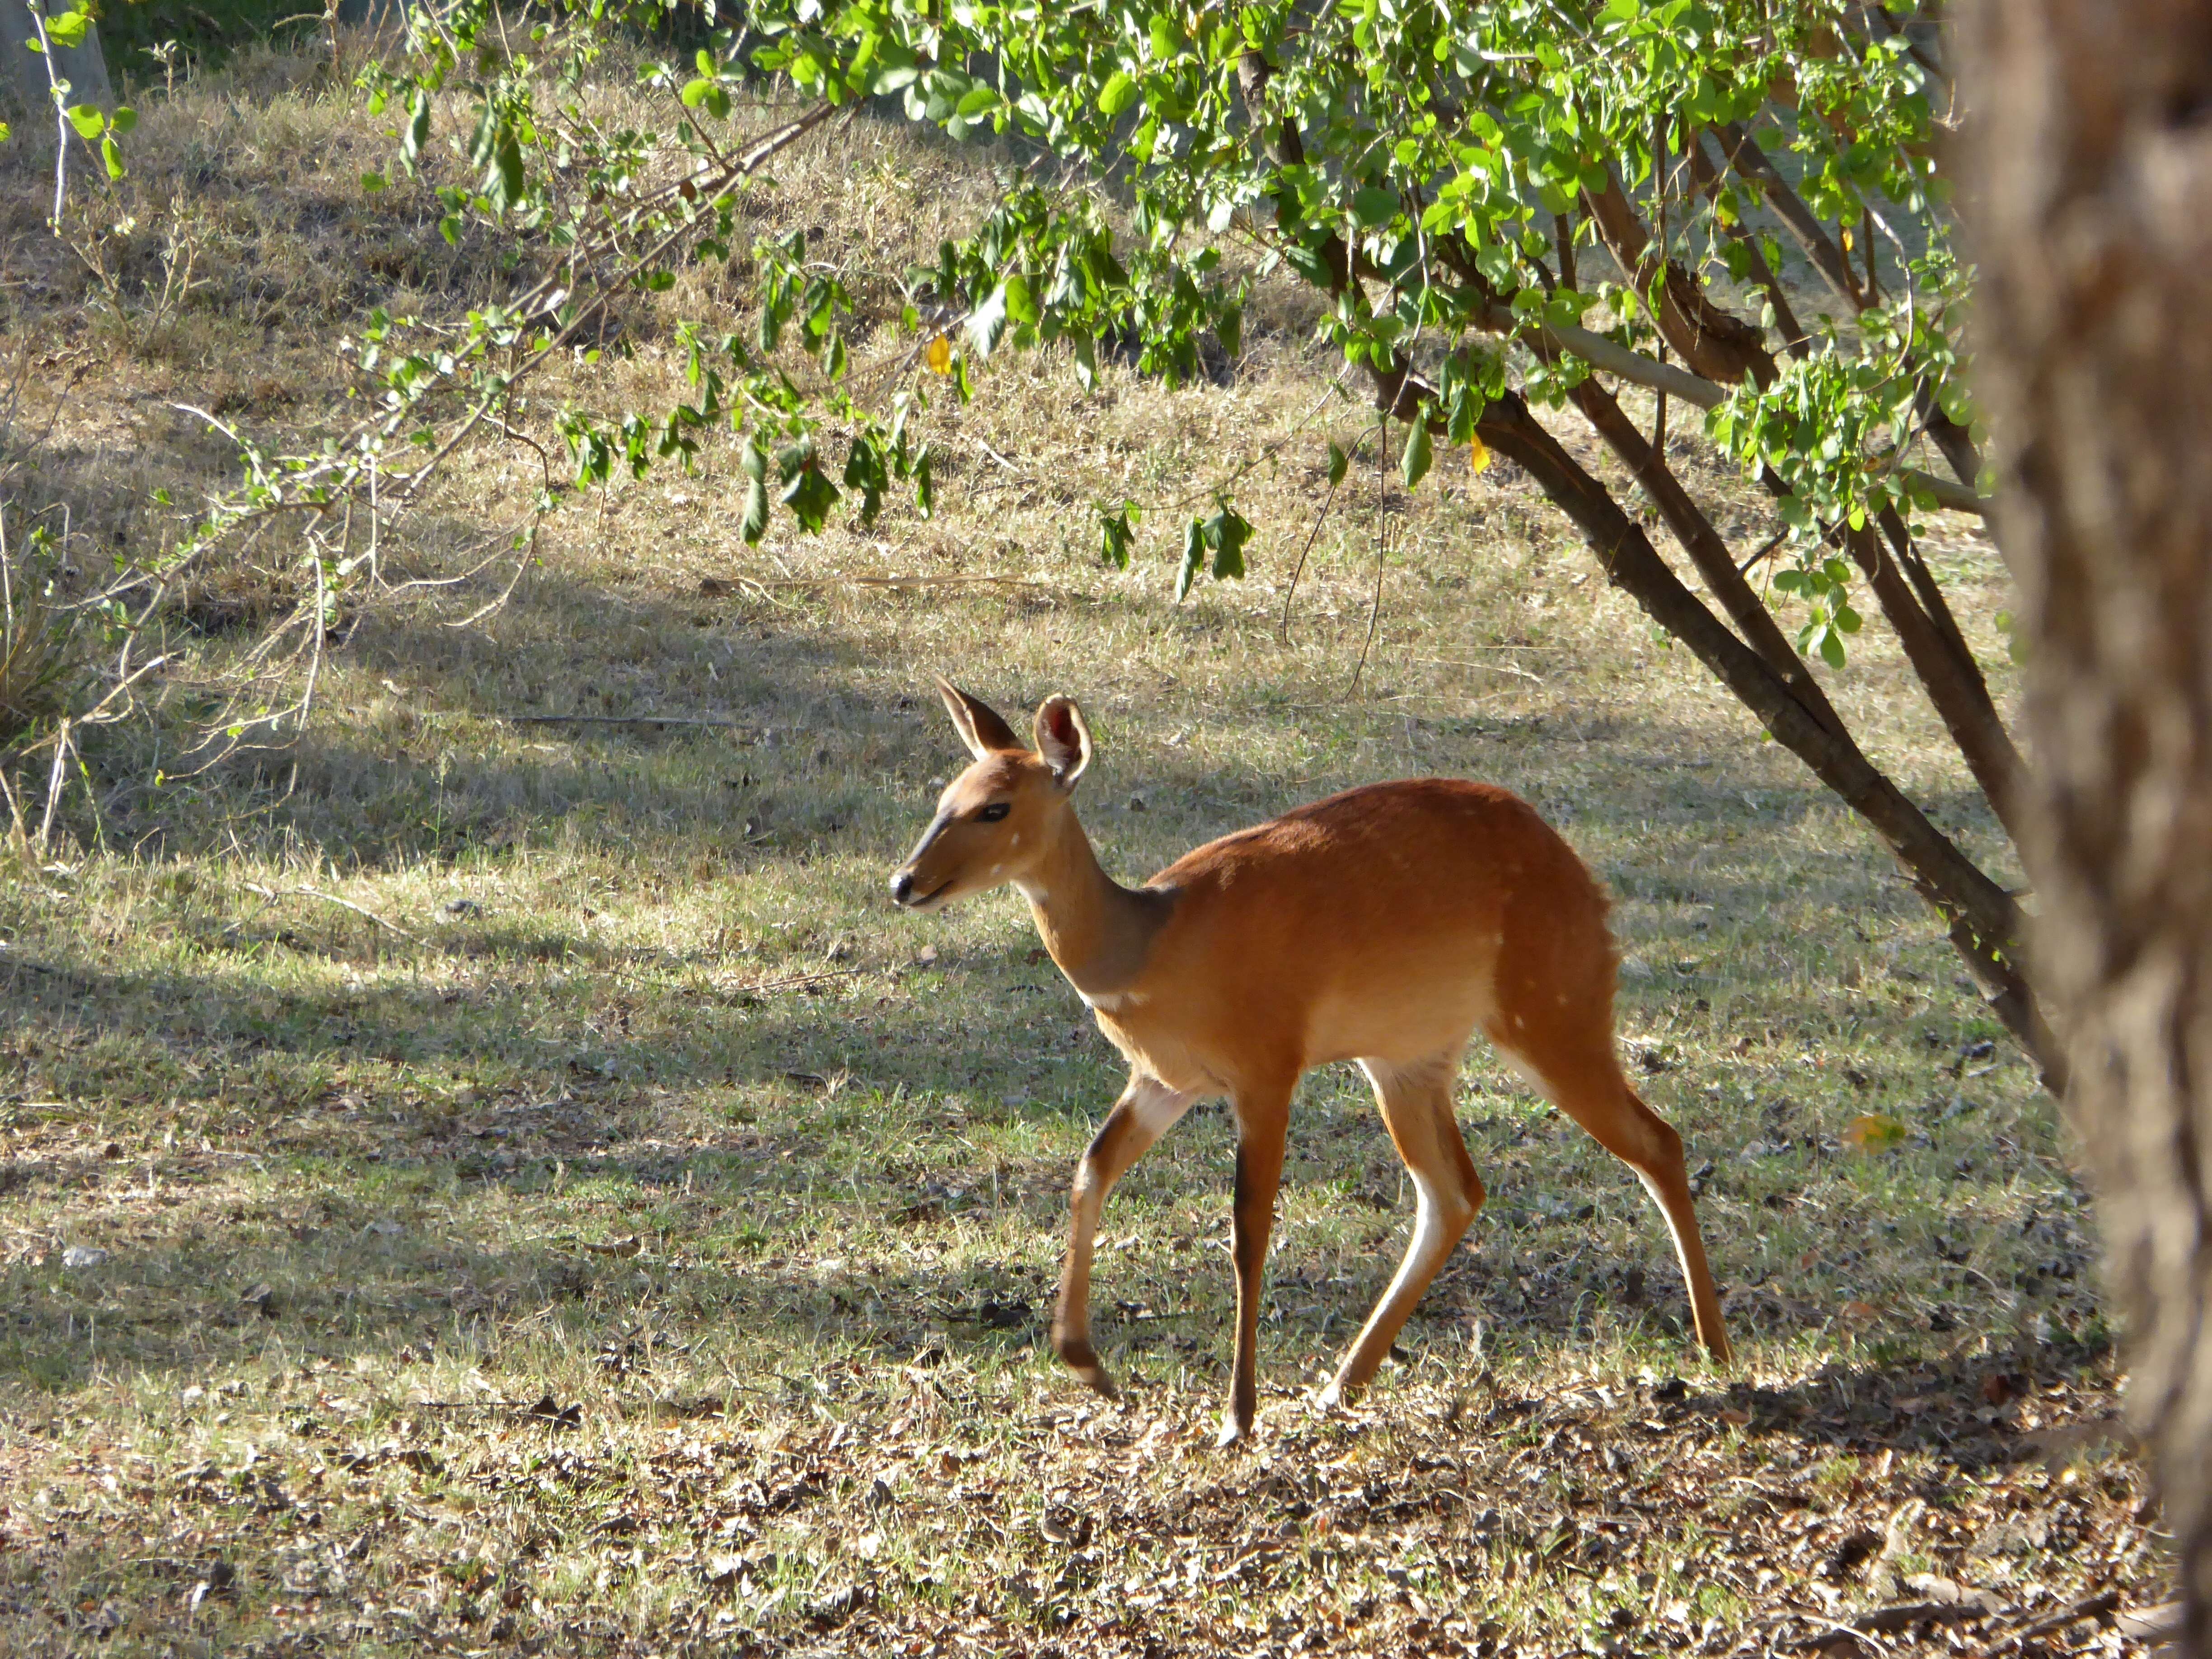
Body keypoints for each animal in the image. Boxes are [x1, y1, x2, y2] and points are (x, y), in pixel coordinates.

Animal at [885, 681, 1725, 1451]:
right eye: (944, 797)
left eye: (996, 809)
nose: (904, 882)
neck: (1154, 947)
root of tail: (1590, 885)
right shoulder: (1165, 1079)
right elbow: (1092, 1167)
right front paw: (1090, 1366)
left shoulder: (1267, 1064)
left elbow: (1247, 1228)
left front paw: (1237, 1416)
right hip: (1408, 1054)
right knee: (1455, 1189)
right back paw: (1343, 1382)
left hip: (1550, 1005)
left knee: (1655, 1139)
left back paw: (1715, 1348)